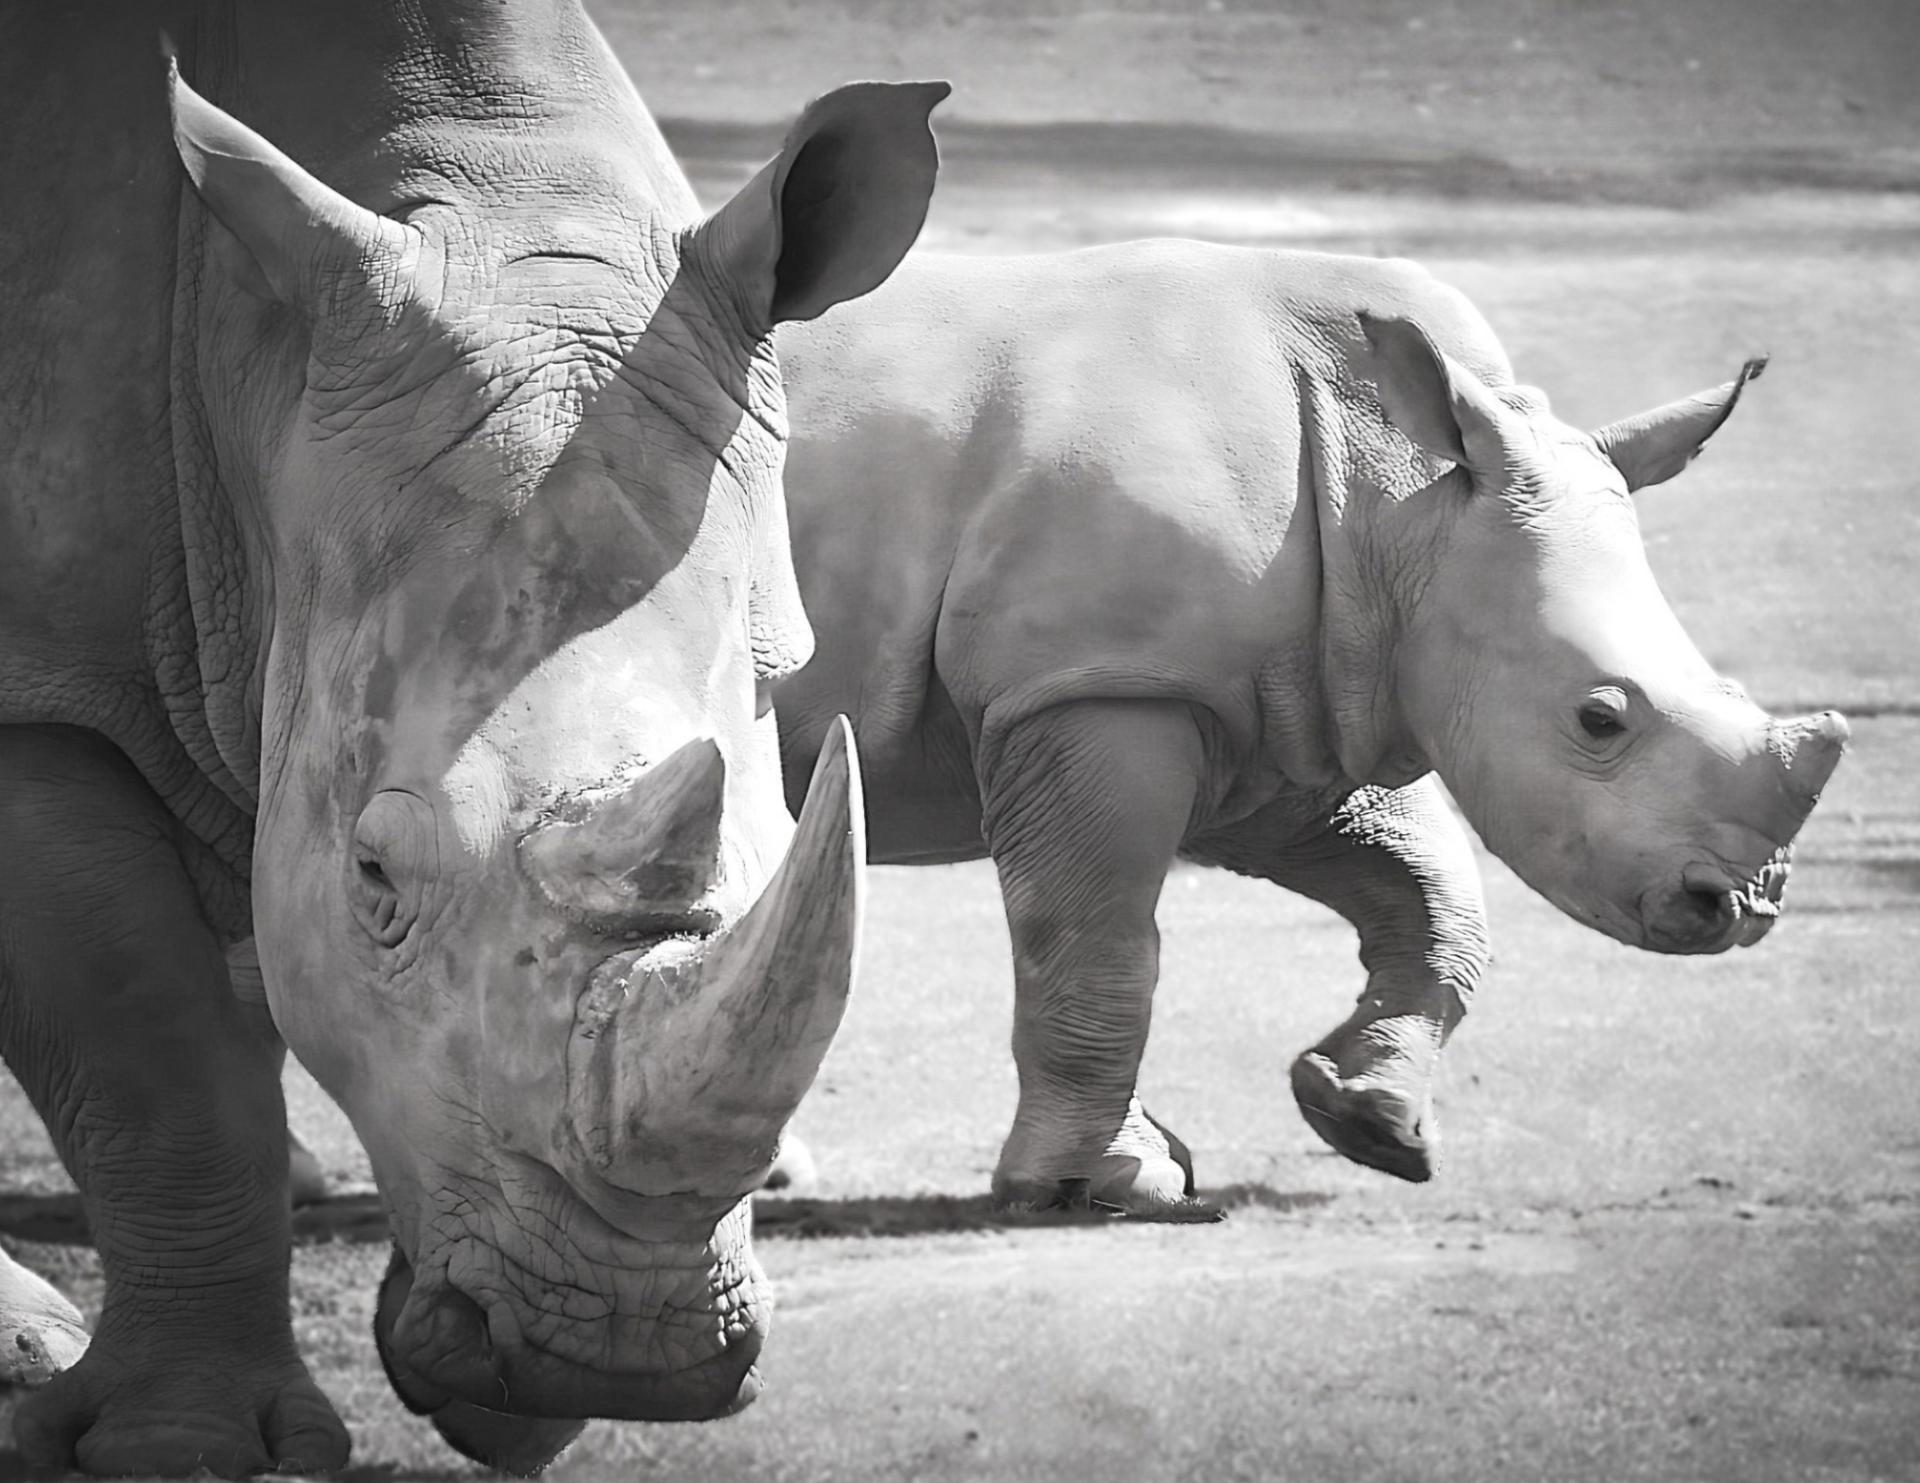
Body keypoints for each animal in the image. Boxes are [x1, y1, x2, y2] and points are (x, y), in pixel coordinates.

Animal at [1, 5, 944, 1475]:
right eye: (375, 880)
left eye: (789, 844)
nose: (630, 1349)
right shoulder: (40, 682)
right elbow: (159, 1063)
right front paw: (180, 1446)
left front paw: (515, 1405)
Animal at [771, 240, 1850, 1214]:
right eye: (1599, 718)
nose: (1742, 904)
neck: (1396, 500)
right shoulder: (1099, 681)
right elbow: (1096, 937)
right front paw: (1108, 1186)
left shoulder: (1302, 699)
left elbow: (1436, 895)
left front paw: (1367, 1120)